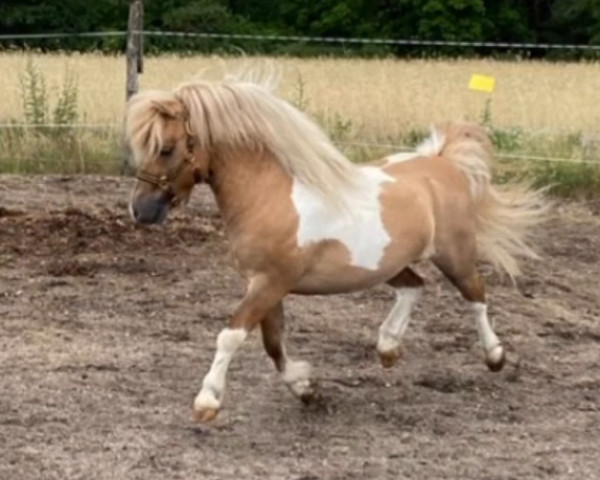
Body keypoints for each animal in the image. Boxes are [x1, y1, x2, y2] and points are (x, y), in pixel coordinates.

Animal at [125, 69, 548, 422]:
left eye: (166, 148)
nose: (140, 210)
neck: (271, 195)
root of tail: (443, 164)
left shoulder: (270, 283)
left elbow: (231, 335)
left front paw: (207, 402)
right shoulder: (263, 284)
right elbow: (273, 343)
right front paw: (307, 390)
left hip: (454, 254)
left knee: (475, 294)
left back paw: (495, 356)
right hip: (387, 265)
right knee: (415, 287)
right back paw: (388, 347)